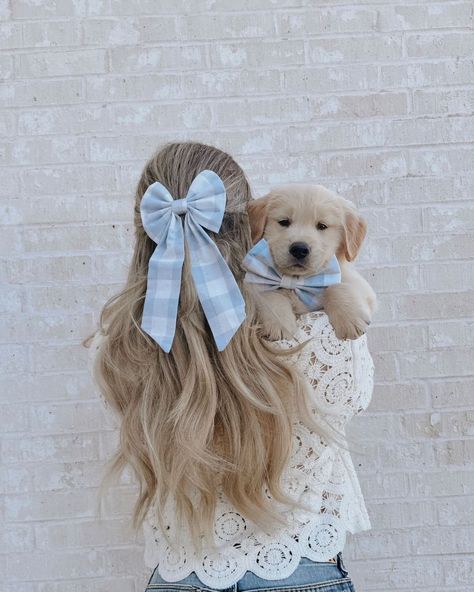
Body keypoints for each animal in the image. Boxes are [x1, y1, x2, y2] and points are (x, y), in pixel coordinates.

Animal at [246, 185, 376, 342]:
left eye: (322, 226)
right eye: (284, 222)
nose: (299, 249)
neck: (298, 280)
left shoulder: (359, 284)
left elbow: (338, 286)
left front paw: (350, 320)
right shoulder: (253, 285)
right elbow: (269, 294)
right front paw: (279, 323)